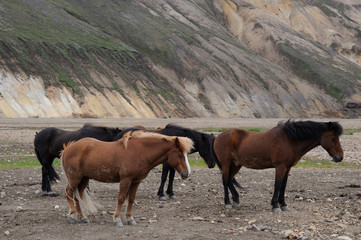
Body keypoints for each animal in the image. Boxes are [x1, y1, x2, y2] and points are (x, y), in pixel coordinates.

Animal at [60, 130, 193, 226]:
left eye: (186, 154)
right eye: (180, 154)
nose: (186, 174)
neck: (139, 152)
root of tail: (67, 149)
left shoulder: (136, 181)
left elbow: (131, 199)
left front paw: (130, 219)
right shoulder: (125, 180)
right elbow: (121, 199)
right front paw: (117, 219)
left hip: (84, 179)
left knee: (77, 196)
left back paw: (82, 217)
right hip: (75, 179)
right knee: (68, 193)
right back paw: (72, 216)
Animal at [214, 120, 344, 212]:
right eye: (334, 138)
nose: (340, 157)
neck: (289, 140)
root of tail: (218, 137)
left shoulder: (287, 168)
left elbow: (283, 186)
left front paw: (284, 205)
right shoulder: (280, 167)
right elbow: (277, 185)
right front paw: (275, 206)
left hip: (236, 164)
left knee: (229, 179)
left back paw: (236, 200)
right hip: (226, 163)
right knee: (225, 181)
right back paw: (227, 203)